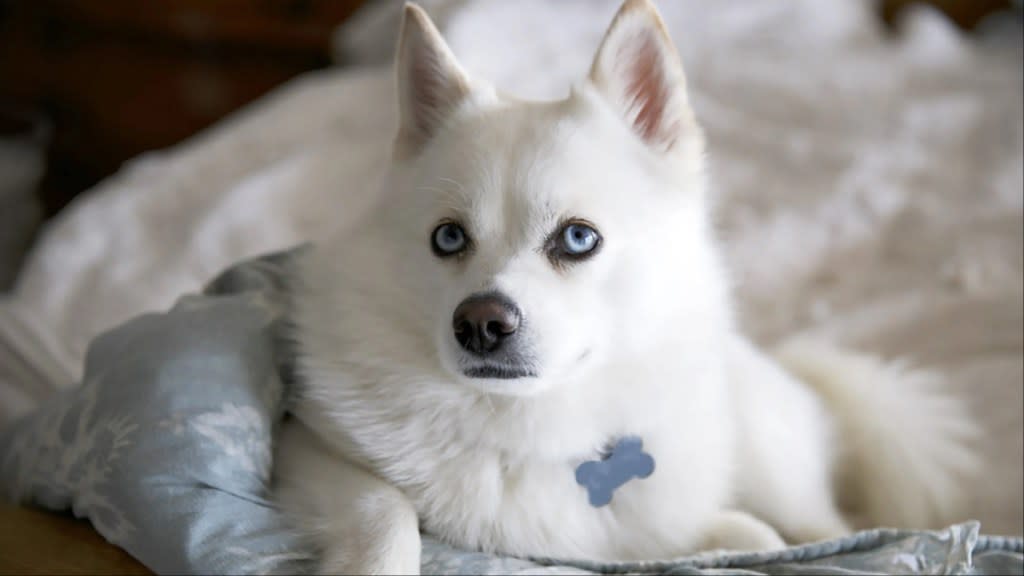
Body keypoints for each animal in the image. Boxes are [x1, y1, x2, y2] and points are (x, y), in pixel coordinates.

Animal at [276, 2, 978, 569]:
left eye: (577, 238)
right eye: (447, 238)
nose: (479, 324)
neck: (530, 424)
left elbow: (753, 536)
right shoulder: (309, 449)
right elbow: (387, 514)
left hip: (772, 453)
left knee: (827, 521)